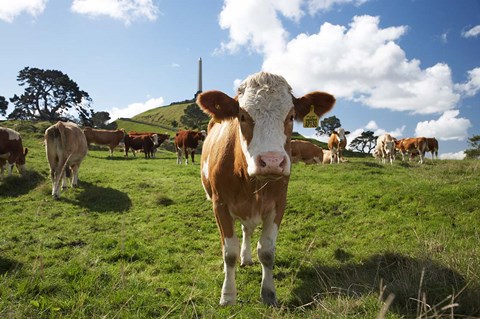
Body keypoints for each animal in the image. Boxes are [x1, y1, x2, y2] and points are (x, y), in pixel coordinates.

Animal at [195, 71, 334, 306]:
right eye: (242, 116)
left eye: (290, 116)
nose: (271, 162)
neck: (252, 182)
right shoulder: (220, 205)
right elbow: (229, 252)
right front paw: (228, 295)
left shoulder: (278, 204)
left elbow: (267, 251)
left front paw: (268, 293)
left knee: (247, 230)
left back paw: (246, 257)